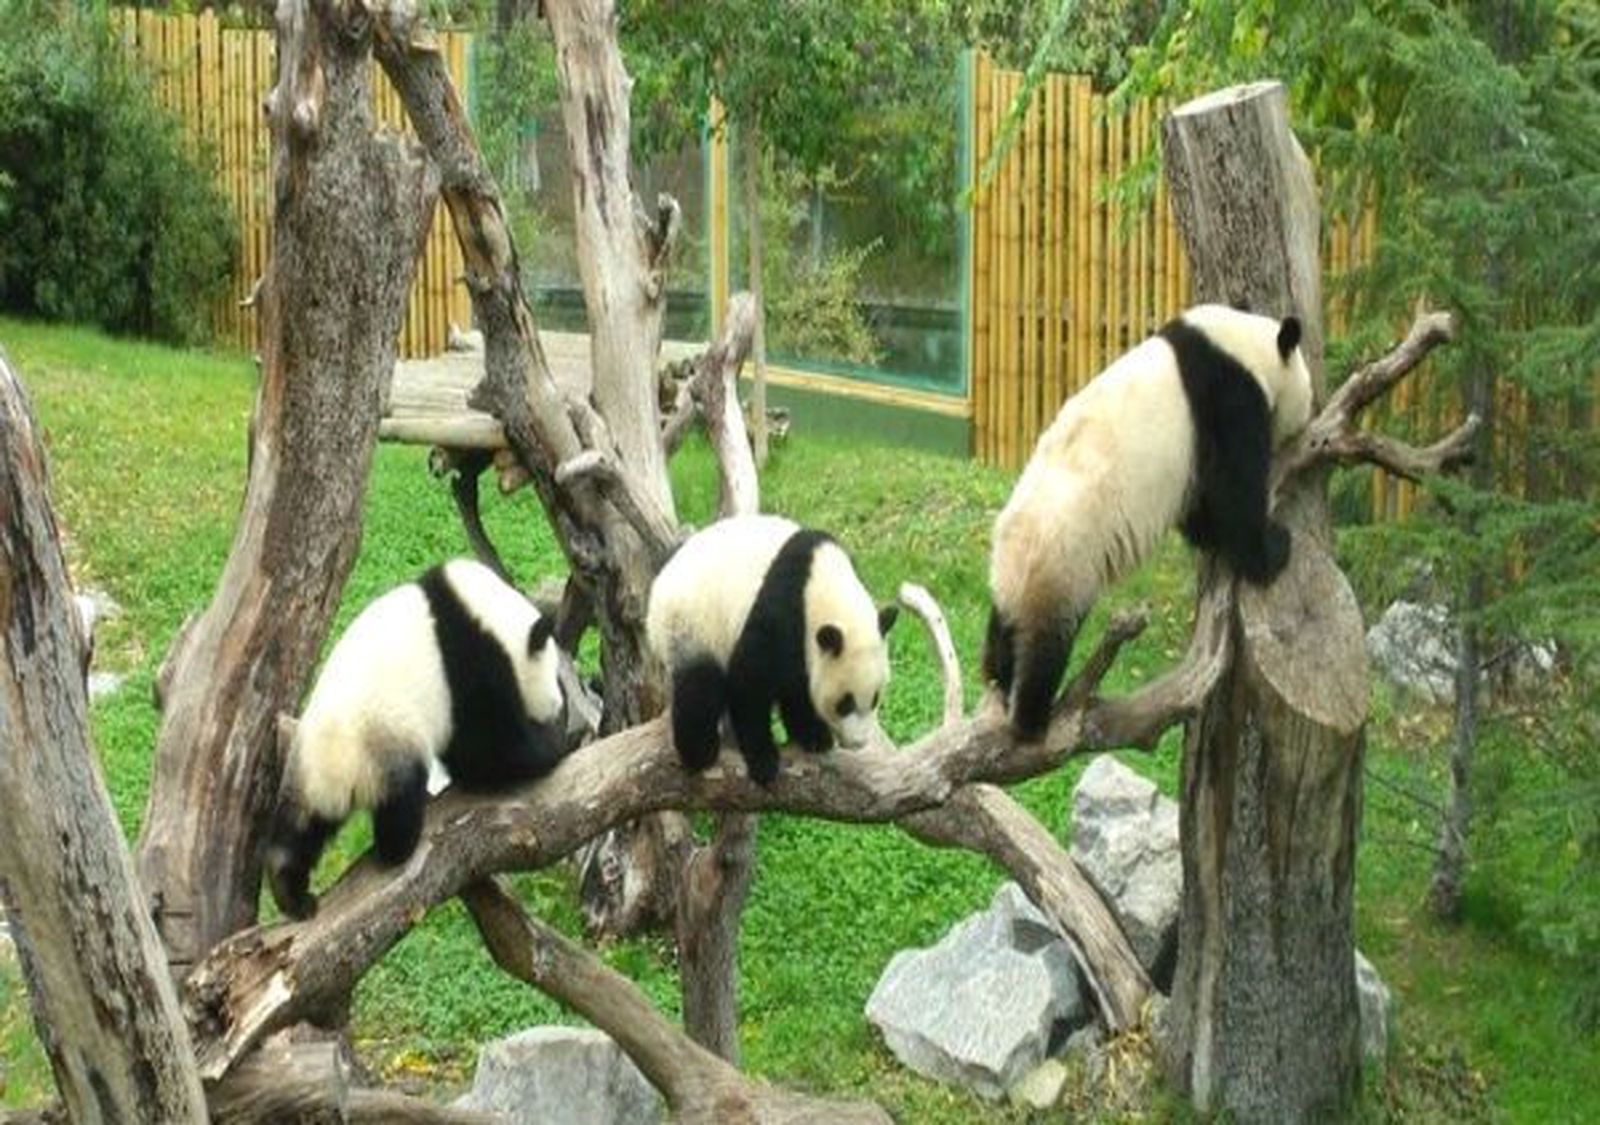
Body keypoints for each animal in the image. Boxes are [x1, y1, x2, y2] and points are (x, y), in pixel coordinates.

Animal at [266, 558, 566, 919]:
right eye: (554, 674)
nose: (558, 705)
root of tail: (339, 767)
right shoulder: (470, 660)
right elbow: (494, 746)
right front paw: (555, 744)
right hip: (385, 745)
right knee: (401, 803)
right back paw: (398, 849)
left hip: (308, 771)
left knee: (300, 827)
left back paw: (289, 891)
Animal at [646, 514, 898, 786]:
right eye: (846, 703)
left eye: (875, 698)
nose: (857, 743)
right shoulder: (784, 606)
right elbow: (750, 678)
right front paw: (764, 762)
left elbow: (797, 687)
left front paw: (814, 736)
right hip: (692, 626)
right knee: (699, 685)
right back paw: (700, 753)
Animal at [984, 304, 1314, 740]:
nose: (1307, 419)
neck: (1241, 345)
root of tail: (1012, 553)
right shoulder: (1228, 400)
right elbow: (1232, 492)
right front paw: (1274, 549)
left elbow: (1199, 506)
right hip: (1064, 558)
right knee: (1045, 646)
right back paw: (1032, 717)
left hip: (1015, 577)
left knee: (1005, 628)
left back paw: (997, 679)